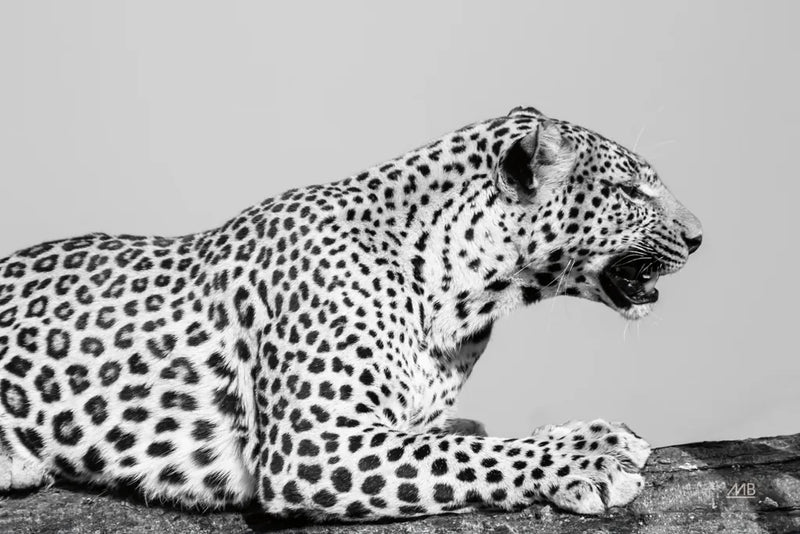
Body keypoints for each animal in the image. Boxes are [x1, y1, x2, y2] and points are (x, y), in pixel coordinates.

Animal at [0, 106, 702, 520]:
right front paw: (590, 457)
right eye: (632, 190)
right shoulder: (314, 442)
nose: (699, 237)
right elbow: (467, 455)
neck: (464, 295)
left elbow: (464, 436)